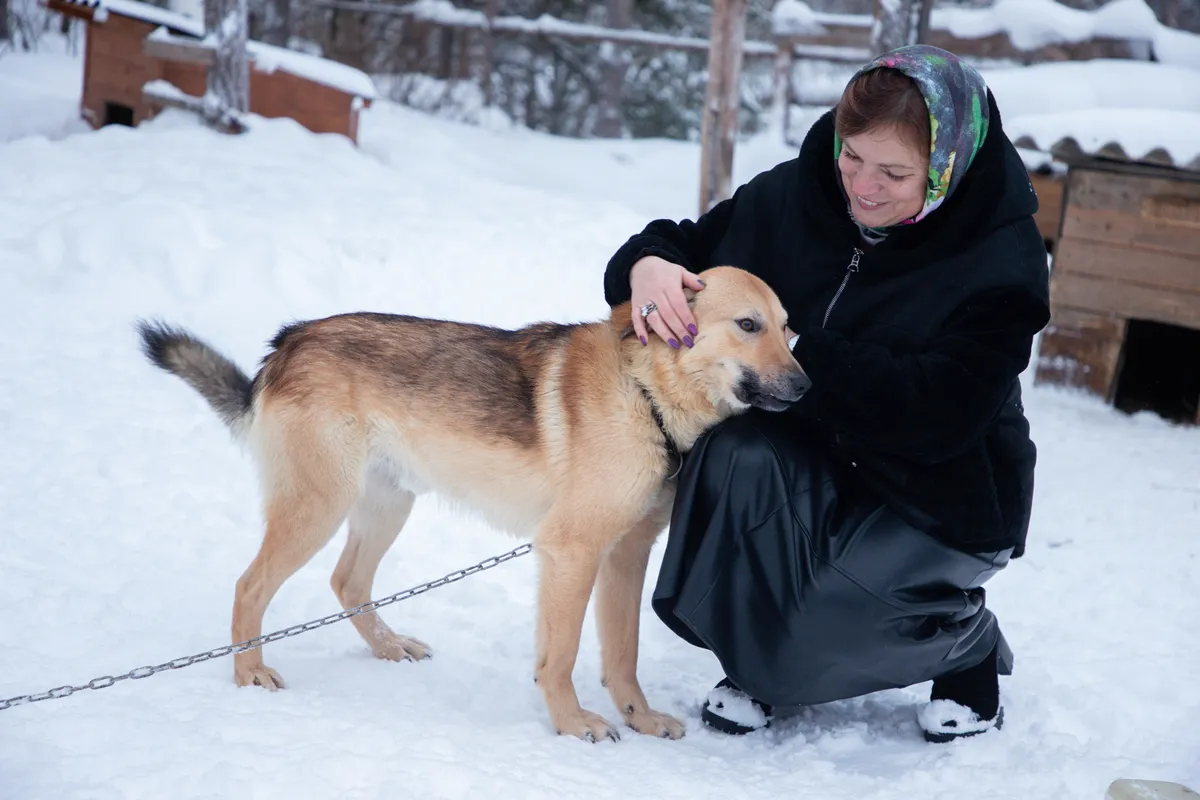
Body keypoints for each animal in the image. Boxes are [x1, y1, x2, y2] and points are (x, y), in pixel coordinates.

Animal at [136, 266, 811, 743]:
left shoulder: (625, 555)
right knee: (250, 586)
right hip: (319, 508)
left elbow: (623, 655)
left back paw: (388, 648)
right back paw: (249, 673)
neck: (646, 391)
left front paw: (639, 719)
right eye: (748, 325)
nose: (807, 386)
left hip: (387, 506)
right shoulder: (571, 553)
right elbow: (562, 656)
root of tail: (287, 345)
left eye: (787, 329)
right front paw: (571, 724)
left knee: (347, 581)